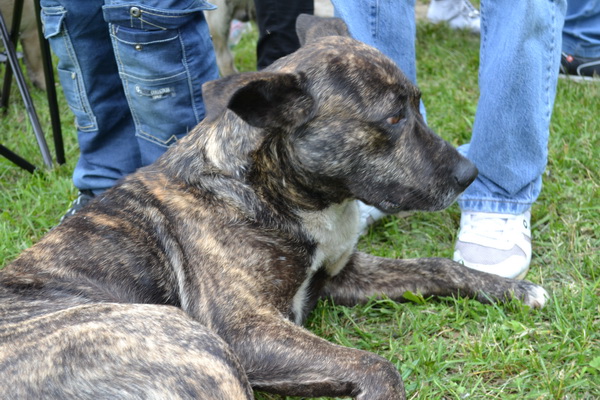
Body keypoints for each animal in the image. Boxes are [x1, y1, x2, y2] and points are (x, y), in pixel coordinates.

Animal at [0, 15, 547, 399]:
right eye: (393, 118)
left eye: (416, 103)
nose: (470, 175)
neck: (274, 189)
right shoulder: (245, 330)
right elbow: (376, 364)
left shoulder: (340, 275)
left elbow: (438, 266)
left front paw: (514, 289)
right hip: (194, 343)